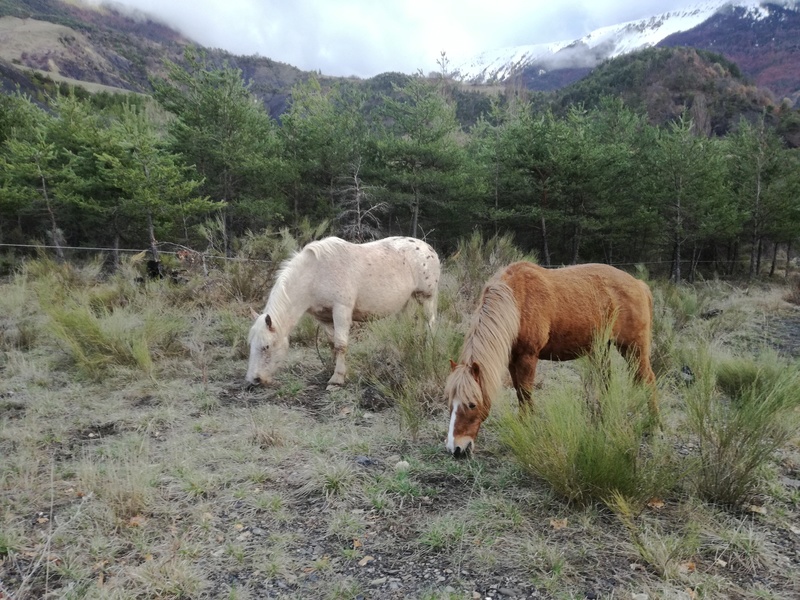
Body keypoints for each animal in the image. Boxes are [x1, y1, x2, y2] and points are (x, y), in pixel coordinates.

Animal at [247, 234, 440, 390]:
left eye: (266, 347)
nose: (254, 380)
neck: (316, 274)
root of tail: (428, 248)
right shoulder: (323, 317)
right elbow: (333, 344)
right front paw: (332, 371)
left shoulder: (341, 310)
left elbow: (341, 344)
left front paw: (337, 380)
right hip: (405, 302)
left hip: (427, 298)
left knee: (430, 324)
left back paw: (428, 352)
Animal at [444, 262, 656, 454]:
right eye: (450, 403)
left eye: (472, 404)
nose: (456, 449)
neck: (516, 300)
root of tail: (639, 284)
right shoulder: (513, 359)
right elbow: (520, 392)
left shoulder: (528, 357)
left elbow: (526, 393)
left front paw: (527, 427)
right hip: (601, 348)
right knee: (606, 382)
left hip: (633, 350)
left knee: (648, 381)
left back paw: (656, 426)